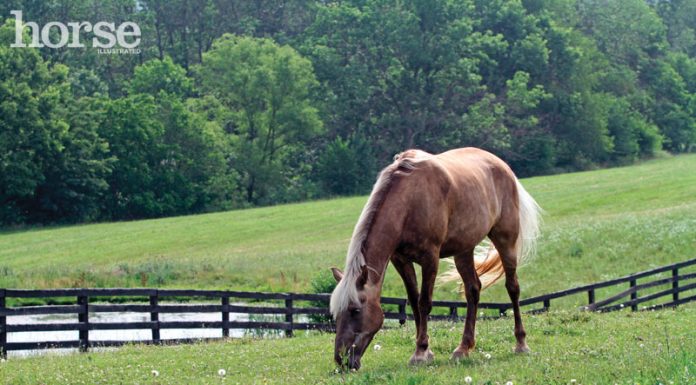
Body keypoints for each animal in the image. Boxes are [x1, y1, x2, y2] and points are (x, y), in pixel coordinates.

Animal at [328, 146, 540, 368]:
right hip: (463, 250)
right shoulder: (400, 260)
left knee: (512, 287)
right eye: (336, 314)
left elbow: (424, 303)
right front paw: (426, 350)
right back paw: (463, 348)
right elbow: (414, 302)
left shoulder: (430, 258)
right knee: (473, 290)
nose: (341, 359)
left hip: (505, 239)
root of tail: (503, 166)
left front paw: (420, 353)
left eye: (355, 310)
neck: (409, 200)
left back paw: (521, 344)